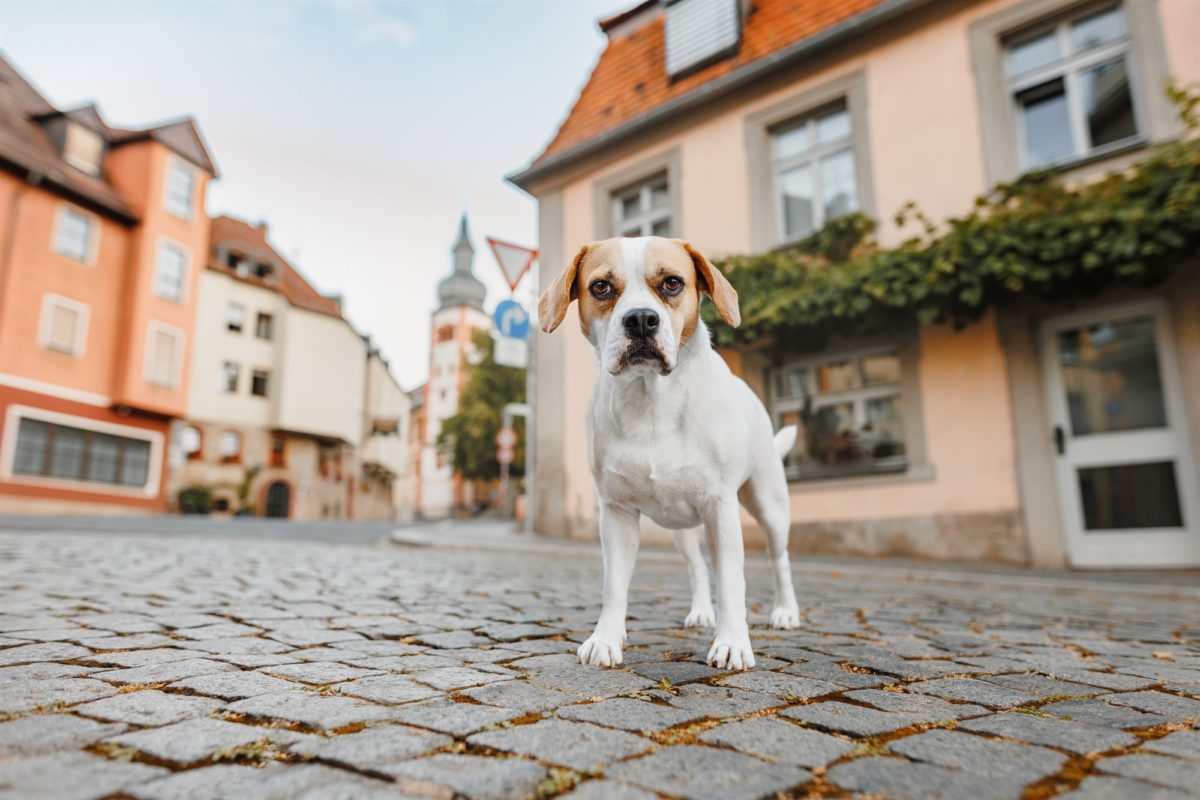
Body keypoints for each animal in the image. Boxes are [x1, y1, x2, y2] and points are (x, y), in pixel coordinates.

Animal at [540, 236, 801, 671]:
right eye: (601, 287)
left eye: (673, 283)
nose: (641, 320)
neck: (650, 402)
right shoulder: (616, 513)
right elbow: (615, 586)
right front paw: (605, 639)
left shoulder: (721, 508)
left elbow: (732, 583)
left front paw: (732, 642)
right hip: (682, 529)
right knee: (698, 567)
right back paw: (701, 612)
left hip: (769, 506)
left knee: (778, 559)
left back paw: (785, 612)